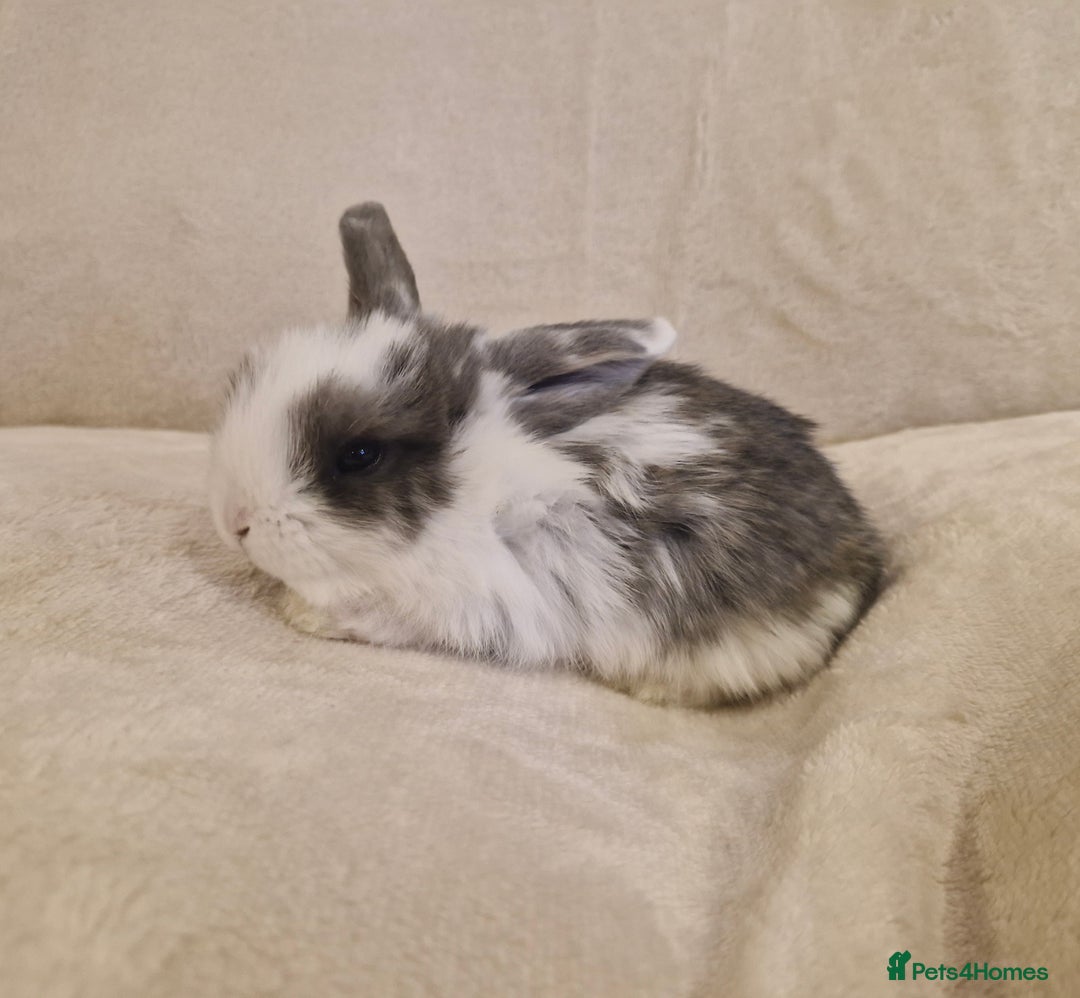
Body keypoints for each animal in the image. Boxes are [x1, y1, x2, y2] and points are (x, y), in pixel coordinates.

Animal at [209, 202, 884, 707]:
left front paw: (303, 614)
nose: (235, 522)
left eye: (359, 454)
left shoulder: (470, 603)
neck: (472, 496)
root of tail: (862, 556)